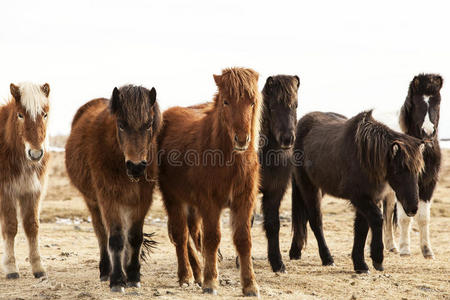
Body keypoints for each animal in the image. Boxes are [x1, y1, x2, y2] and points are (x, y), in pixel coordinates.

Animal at [0, 81, 50, 278]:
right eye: (20, 115)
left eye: (44, 114)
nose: (35, 154)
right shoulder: (6, 192)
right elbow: (10, 227)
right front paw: (10, 267)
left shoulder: (32, 191)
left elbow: (32, 226)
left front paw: (38, 267)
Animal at [65, 85, 160, 292]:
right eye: (121, 124)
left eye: (148, 124)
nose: (136, 167)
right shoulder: (109, 198)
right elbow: (115, 238)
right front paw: (116, 280)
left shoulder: (142, 200)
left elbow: (134, 237)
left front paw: (133, 275)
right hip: (93, 202)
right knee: (101, 233)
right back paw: (105, 271)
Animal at [158, 67, 262, 296]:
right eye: (226, 101)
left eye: (252, 102)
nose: (242, 139)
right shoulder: (210, 202)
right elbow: (212, 238)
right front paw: (210, 283)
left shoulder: (244, 201)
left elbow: (243, 240)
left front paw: (250, 285)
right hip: (173, 197)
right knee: (181, 235)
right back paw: (186, 276)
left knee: (192, 234)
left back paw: (197, 273)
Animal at [288, 110, 426, 274]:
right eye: (399, 171)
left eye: (418, 171)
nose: (412, 208)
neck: (365, 157)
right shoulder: (359, 197)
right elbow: (377, 219)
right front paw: (377, 259)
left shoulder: (370, 198)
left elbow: (361, 229)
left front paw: (360, 264)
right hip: (309, 186)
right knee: (316, 221)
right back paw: (327, 258)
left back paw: (295, 252)